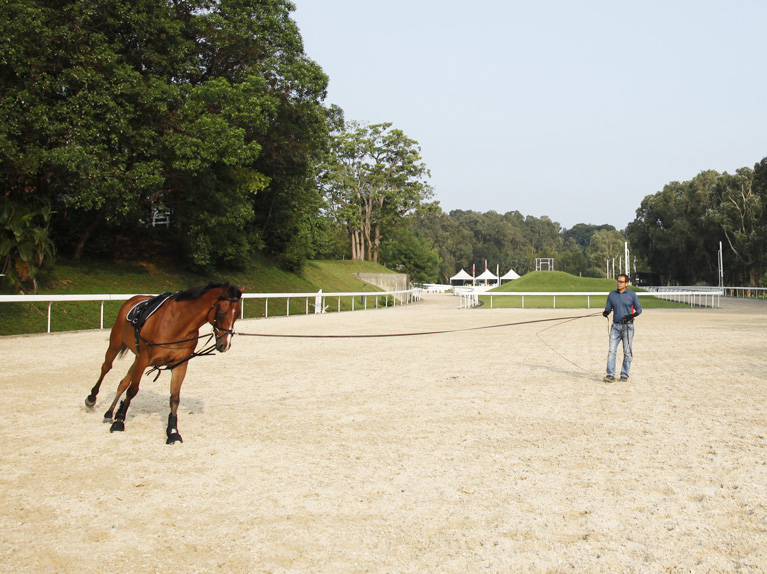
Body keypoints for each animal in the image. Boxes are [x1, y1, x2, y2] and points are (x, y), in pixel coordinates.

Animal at [83, 284, 242, 446]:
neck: (176, 324)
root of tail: (133, 299)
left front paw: (173, 431)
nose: (225, 345)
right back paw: (92, 399)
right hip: (116, 345)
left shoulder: (180, 365)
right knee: (106, 367)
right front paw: (119, 421)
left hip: (136, 358)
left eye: (237, 314)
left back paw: (109, 412)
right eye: (221, 312)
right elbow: (133, 390)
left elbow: (174, 398)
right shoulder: (144, 359)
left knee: (123, 381)